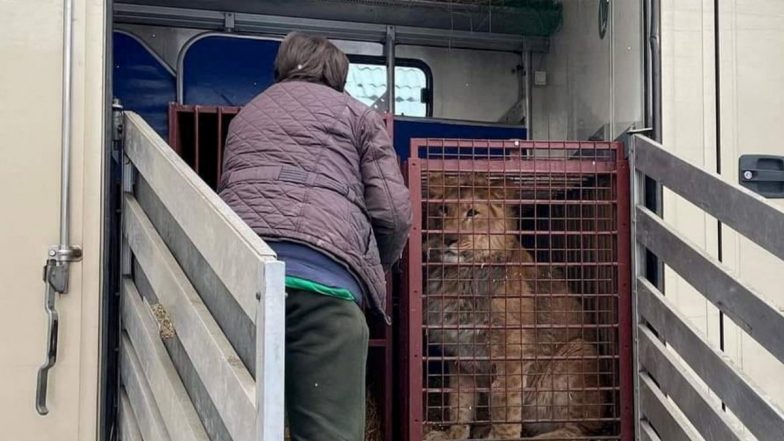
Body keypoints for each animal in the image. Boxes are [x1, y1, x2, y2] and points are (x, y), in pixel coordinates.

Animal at [422, 174, 608, 438]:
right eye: (443, 209)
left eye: (472, 212)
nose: (448, 238)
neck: (460, 276)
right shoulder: (460, 357)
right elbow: (459, 403)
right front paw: (452, 435)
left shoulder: (513, 352)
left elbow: (504, 404)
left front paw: (499, 436)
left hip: (578, 351)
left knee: (575, 431)